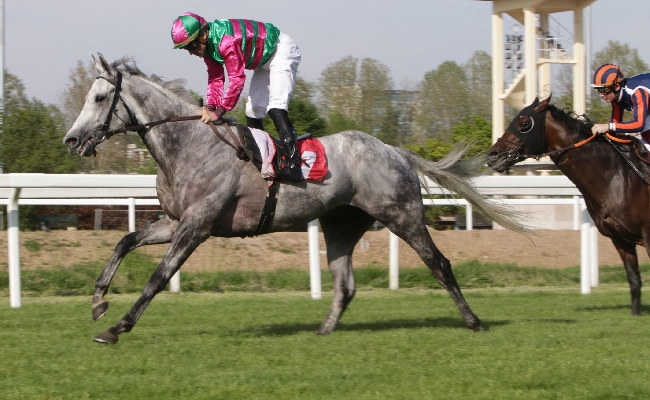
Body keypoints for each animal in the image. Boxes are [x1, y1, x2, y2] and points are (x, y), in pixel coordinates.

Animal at [63, 54, 524, 344]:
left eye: (99, 98)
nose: (71, 139)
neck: (188, 145)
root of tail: (394, 150)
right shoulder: (175, 221)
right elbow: (124, 242)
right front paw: (98, 300)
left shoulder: (197, 226)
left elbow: (158, 277)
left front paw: (116, 327)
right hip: (342, 225)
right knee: (345, 284)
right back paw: (323, 331)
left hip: (403, 215)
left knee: (440, 264)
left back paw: (473, 321)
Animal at [486, 96, 648, 316]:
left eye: (524, 123)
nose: (493, 155)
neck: (617, 175)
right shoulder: (621, 239)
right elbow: (634, 281)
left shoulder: (648, 234)